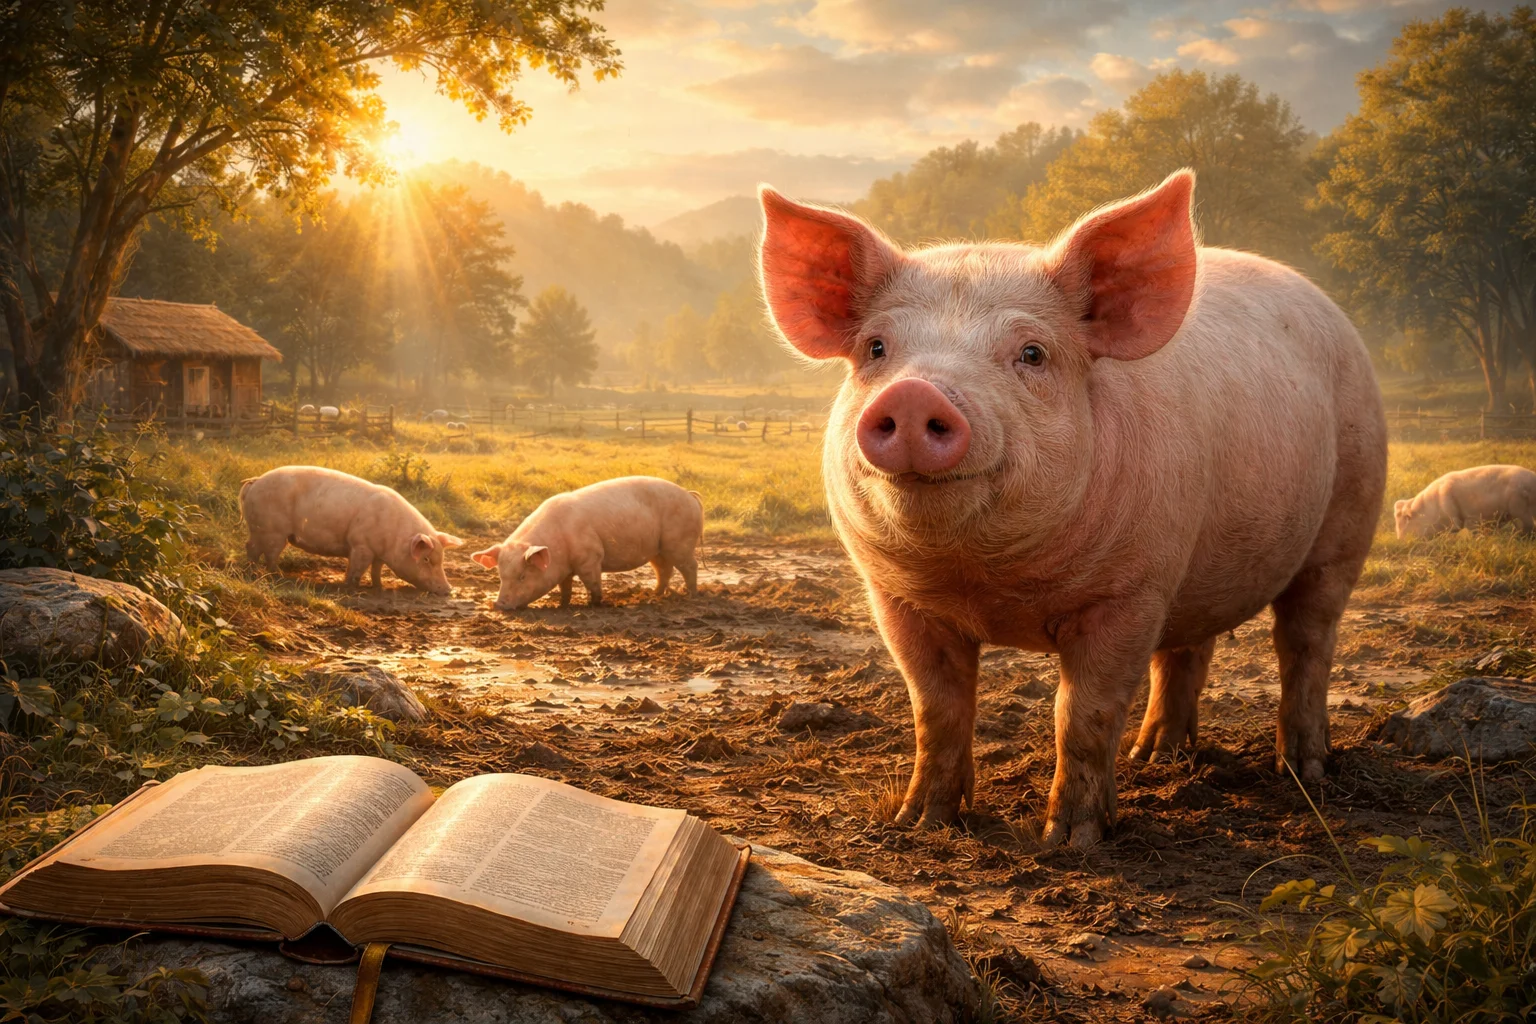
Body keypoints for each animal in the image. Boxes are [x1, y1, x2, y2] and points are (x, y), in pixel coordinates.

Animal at [240, 466, 464, 594]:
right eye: (426, 559)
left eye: (441, 560)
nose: (448, 590)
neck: (396, 537)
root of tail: (255, 481)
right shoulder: (360, 544)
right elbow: (357, 567)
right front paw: (350, 586)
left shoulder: (378, 554)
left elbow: (376, 569)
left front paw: (379, 587)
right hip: (273, 531)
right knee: (265, 552)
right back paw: (275, 575)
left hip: (262, 530)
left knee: (251, 547)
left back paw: (255, 571)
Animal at [472, 477, 704, 610]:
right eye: (501, 576)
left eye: (522, 576)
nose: (499, 605)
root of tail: (690, 495)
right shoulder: (565, 568)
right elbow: (565, 586)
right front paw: (562, 604)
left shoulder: (591, 557)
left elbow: (592, 582)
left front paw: (594, 604)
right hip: (657, 549)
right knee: (664, 570)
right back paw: (654, 595)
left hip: (680, 542)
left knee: (690, 566)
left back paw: (692, 595)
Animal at [757, 170, 1387, 848]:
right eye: (877, 348)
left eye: (1033, 353)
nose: (914, 392)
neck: (987, 584)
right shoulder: (896, 597)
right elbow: (935, 706)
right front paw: (922, 823)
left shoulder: (1129, 593)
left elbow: (1083, 712)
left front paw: (1069, 841)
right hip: (1197, 566)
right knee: (1188, 648)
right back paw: (1155, 757)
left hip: (1349, 512)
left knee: (1306, 640)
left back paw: (1303, 771)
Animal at [1394, 465, 1536, 539]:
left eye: (1406, 521)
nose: (1400, 541)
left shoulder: (1460, 516)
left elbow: (1460, 528)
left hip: (1520, 509)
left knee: (1529, 527)